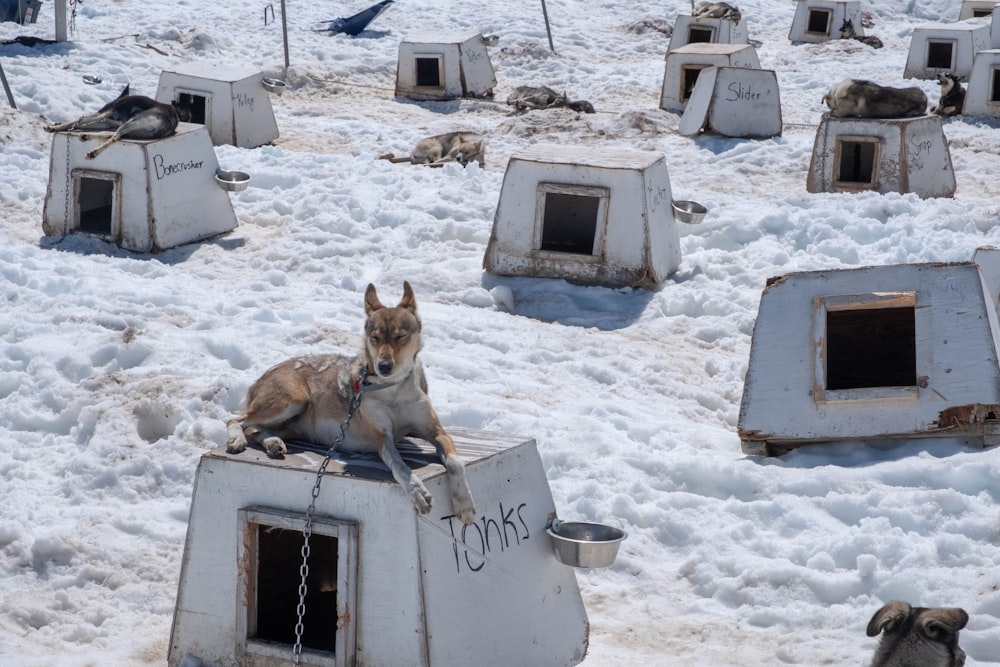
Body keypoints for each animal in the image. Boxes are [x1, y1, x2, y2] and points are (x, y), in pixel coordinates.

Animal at [45, 90, 190, 160]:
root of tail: (171, 121)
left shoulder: (103, 114)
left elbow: (79, 120)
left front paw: (53, 127)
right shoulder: (107, 120)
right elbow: (84, 123)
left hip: (131, 123)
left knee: (115, 137)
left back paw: (93, 153)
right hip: (133, 129)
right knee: (115, 135)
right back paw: (85, 136)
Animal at [227, 284, 476, 524]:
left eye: (400, 336)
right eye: (375, 338)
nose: (383, 366)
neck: (394, 389)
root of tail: (261, 376)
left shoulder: (436, 431)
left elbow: (456, 462)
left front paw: (464, 505)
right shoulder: (382, 438)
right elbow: (401, 467)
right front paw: (417, 492)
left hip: (293, 425)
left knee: (257, 431)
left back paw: (274, 444)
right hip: (293, 400)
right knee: (238, 421)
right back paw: (238, 440)